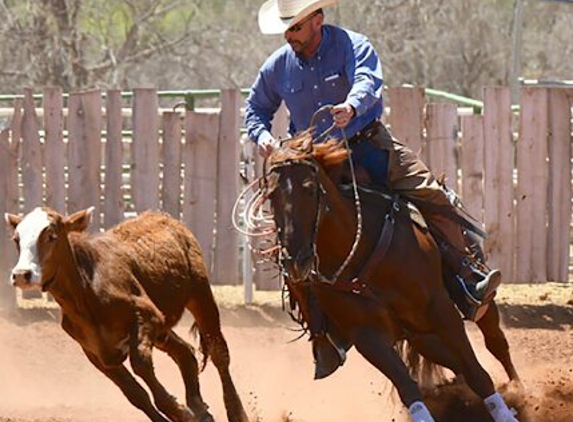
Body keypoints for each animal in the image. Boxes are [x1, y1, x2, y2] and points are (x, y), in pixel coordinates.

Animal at [4, 207, 249, 422]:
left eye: (51, 236)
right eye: (16, 239)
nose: (22, 274)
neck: (87, 289)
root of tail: (166, 219)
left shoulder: (147, 316)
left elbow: (140, 364)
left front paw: (180, 411)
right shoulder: (96, 352)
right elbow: (134, 393)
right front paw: (183, 412)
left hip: (201, 295)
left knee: (219, 353)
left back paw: (237, 413)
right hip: (162, 330)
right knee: (185, 353)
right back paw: (200, 409)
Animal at [264, 135, 520, 422]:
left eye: (309, 189)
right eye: (271, 194)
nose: (295, 260)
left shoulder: (440, 308)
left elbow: (477, 372)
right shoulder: (367, 335)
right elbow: (408, 387)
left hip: (475, 305)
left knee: (495, 342)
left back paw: (520, 391)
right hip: (420, 336)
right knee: (454, 362)